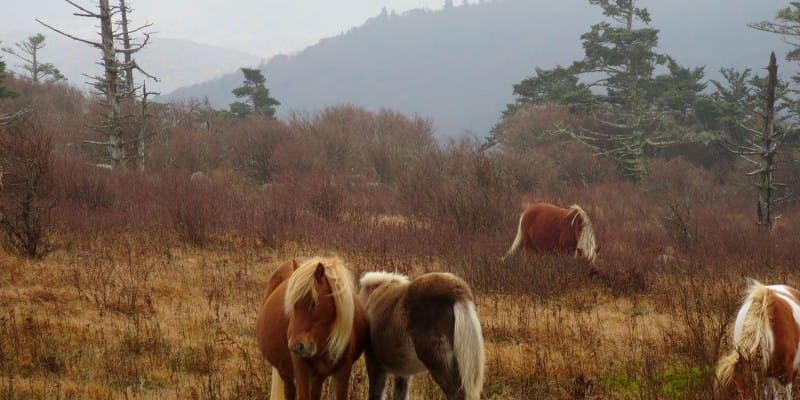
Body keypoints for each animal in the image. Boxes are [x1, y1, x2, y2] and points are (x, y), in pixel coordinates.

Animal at [256, 256, 368, 400]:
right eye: (292, 304)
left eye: (314, 303)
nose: (296, 346)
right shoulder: (301, 367)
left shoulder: (343, 370)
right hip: (284, 371)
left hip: (317, 376)